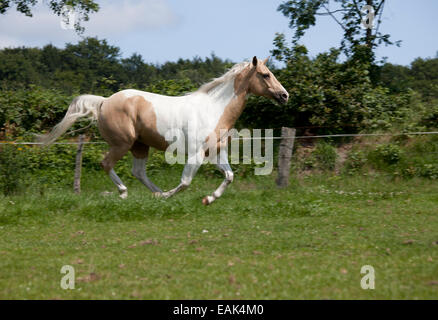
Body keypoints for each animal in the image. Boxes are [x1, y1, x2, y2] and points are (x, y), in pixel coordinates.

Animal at [39, 56, 290, 205]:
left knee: (138, 171)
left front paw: (209, 199)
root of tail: (104, 102)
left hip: (140, 146)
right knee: (107, 164)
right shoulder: (196, 155)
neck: (214, 109)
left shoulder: (216, 153)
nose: (284, 95)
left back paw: (155, 193)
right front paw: (172, 196)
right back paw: (125, 192)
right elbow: (186, 182)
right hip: (122, 143)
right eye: (266, 75)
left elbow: (229, 176)